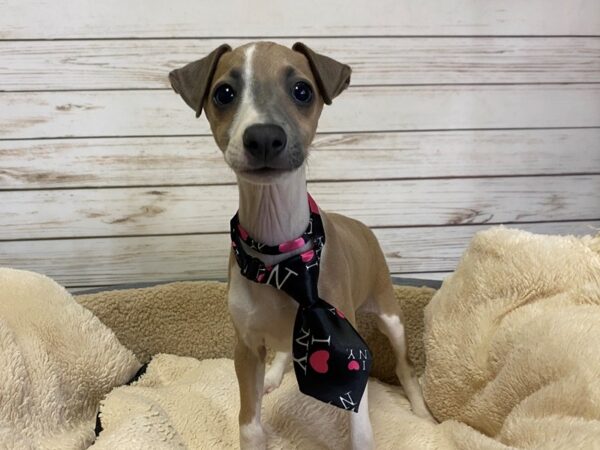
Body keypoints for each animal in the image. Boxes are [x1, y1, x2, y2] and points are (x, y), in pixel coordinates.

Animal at [169, 42, 432, 450]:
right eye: (224, 93)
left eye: (302, 90)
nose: (263, 137)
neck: (281, 254)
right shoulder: (246, 347)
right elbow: (249, 424)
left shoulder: (350, 350)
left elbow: (360, 427)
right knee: (283, 349)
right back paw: (275, 375)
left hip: (391, 315)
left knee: (405, 366)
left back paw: (421, 412)